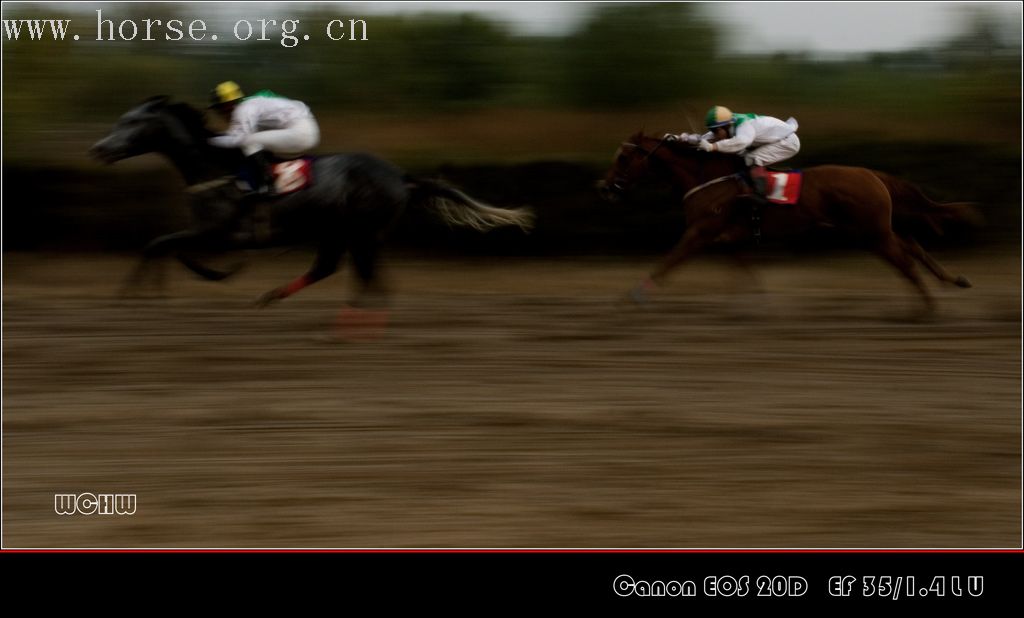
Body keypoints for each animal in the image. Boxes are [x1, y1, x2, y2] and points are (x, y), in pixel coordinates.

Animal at [91, 98, 532, 313]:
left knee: (364, 274)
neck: (214, 168)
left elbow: (161, 244)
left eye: (130, 123)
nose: (99, 148)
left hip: (362, 230)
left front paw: (133, 295)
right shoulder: (210, 232)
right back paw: (276, 298)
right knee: (337, 269)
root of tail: (400, 174)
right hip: (340, 231)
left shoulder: (219, 232)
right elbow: (166, 246)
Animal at [598, 131, 983, 311]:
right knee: (913, 247)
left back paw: (926, 309)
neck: (708, 177)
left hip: (872, 232)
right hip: (874, 230)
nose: (604, 186)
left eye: (623, 158)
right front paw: (754, 304)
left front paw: (631, 297)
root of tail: (872, 174)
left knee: (905, 261)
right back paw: (954, 282)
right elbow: (743, 269)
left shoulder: (700, 232)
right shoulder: (725, 236)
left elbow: (669, 261)